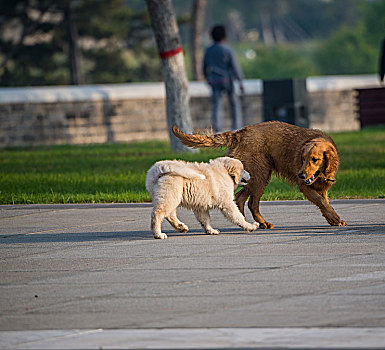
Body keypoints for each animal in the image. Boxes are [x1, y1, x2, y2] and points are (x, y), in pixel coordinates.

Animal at [172, 121, 346, 230]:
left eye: (314, 159)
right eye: (302, 159)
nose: (301, 174)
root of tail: (239, 133)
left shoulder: (322, 188)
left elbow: (324, 202)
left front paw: (332, 219)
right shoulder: (305, 187)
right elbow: (321, 202)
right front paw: (336, 219)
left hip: (255, 176)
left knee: (240, 197)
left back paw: (247, 222)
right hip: (260, 174)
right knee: (251, 203)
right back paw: (261, 223)